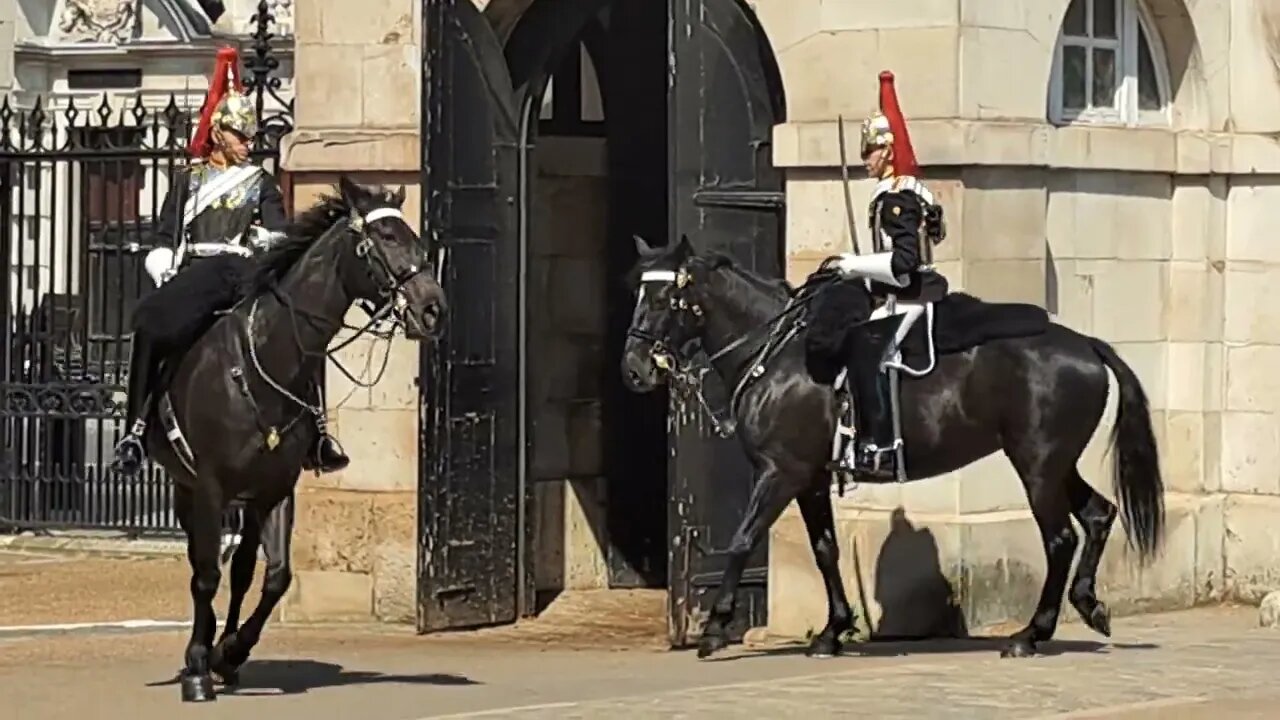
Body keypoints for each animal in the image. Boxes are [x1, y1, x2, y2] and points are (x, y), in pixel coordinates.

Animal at [144, 176, 446, 702]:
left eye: (414, 237)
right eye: (386, 236)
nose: (433, 309)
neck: (262, 363)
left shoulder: (276, 489)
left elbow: (274, 576)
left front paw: (230, 652)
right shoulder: (209, 487)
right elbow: (207, 576)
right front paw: (199, 666)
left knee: (242, 568)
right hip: (187, 488)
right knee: (204, 566)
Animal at [620, 234, 1164, 660]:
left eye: (665, 297)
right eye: (638, 293)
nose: (635, 369)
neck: (776, 356)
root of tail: (1086, 343)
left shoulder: (781, 472)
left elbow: (742, 539)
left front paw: (715, 629)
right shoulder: (811, 477)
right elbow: (824, 549)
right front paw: (833, 630)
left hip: (1037, 464)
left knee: (1061, 538)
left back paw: (1030, 634)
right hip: (1054, 462)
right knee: (1098, 514)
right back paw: (1089, 607)